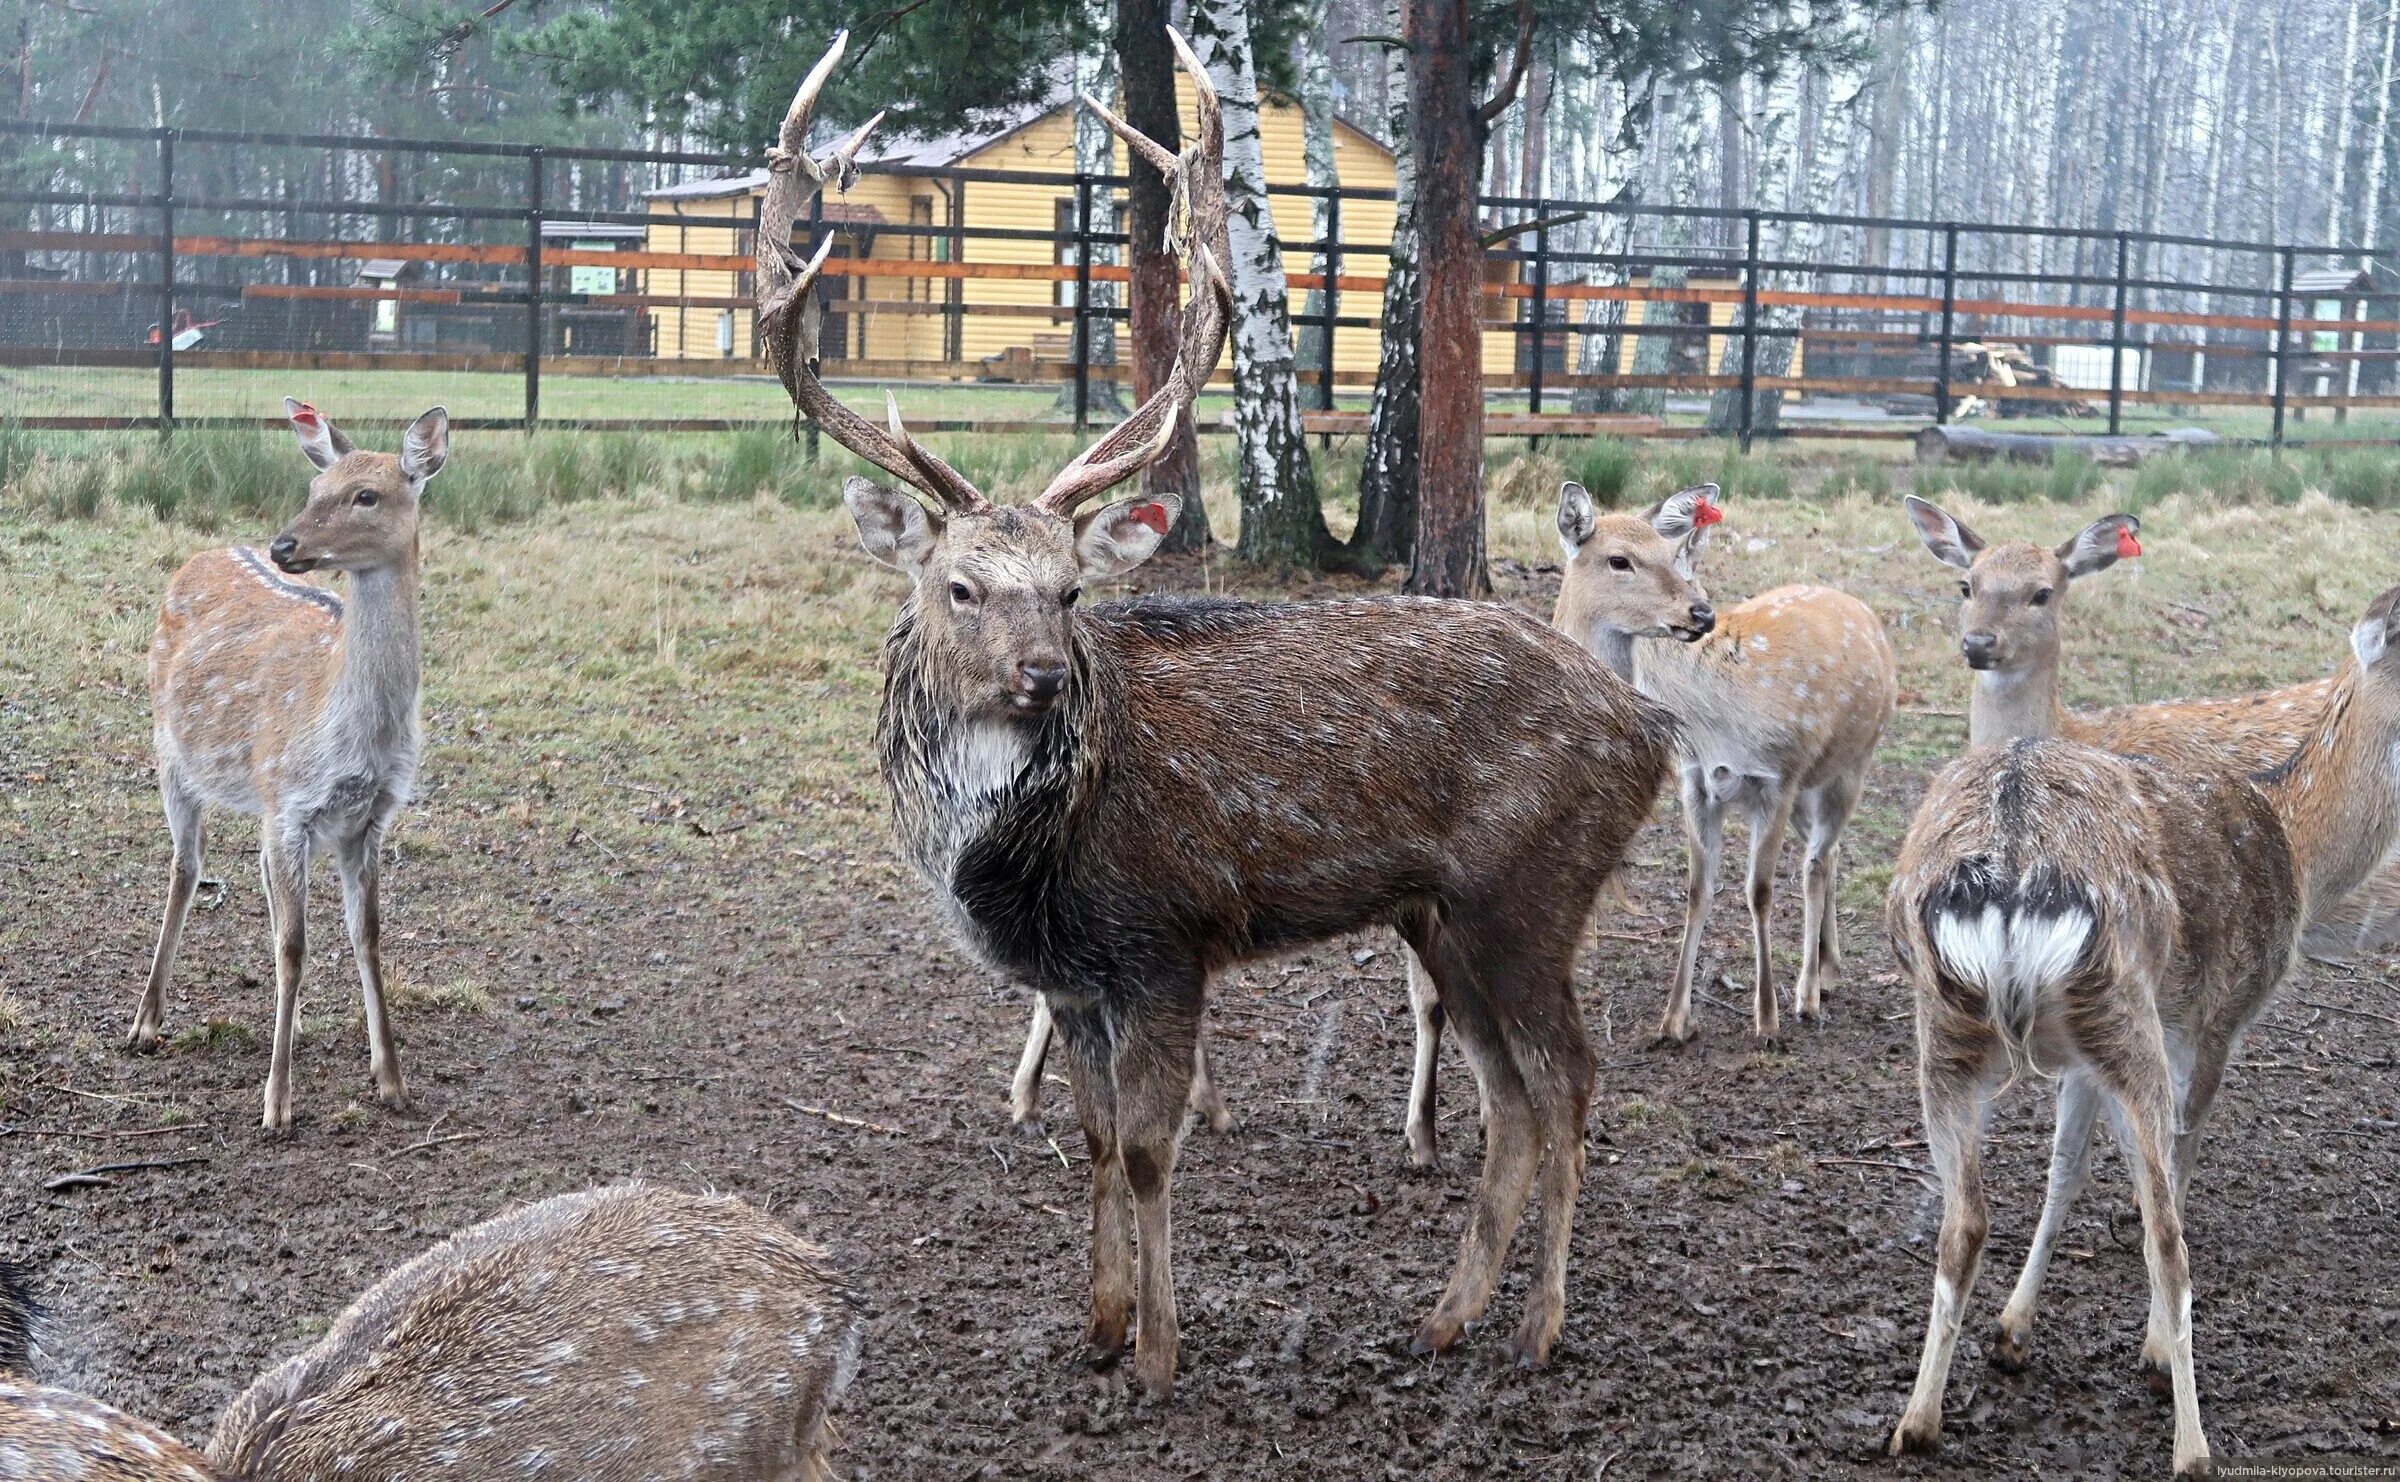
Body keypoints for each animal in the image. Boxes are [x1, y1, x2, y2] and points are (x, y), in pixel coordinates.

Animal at [132, 398, 451, 1127]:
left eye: (367, 495)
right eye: (314, 487)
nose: (284, 546)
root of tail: (207, 552)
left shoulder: (368, 818)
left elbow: (367, 935)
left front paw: (392, 1079)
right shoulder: (291, 800)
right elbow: (294, 945)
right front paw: (276, 1103)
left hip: (258, 800)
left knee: (252, 875)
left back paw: (294, 1022)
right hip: (171, 751)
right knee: (186, 867)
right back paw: (145, 1021)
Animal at [763, 28, 1670, 1390]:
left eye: (1072, 589)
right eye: (961, 585)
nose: (1043, 674)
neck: (1022, 855)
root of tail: (1652, 733)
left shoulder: (1164, 938)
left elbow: (1149, 1151)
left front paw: (1159, 1350)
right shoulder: (1073, 977)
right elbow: (1090, 1144)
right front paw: (1095, 1327)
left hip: (1532, 890)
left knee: (1568, 1083)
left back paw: (1541, 1329)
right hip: (1441, 914)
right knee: (1510, 1095)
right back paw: (1447, 1315)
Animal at [1881, 580, 2400, 1477]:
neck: (2300, 846)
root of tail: (2011, 864)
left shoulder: (2082, 1062)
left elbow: (2064, 1171)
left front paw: (2012, 1333)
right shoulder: (2215, 1016)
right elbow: (2171, 1171)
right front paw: (2152, 1348)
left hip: (1950, 1025)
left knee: (1964, 1219)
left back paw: (1916, 1421)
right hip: (2122, 1011)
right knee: (2167, 1232)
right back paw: (2192, 1445)